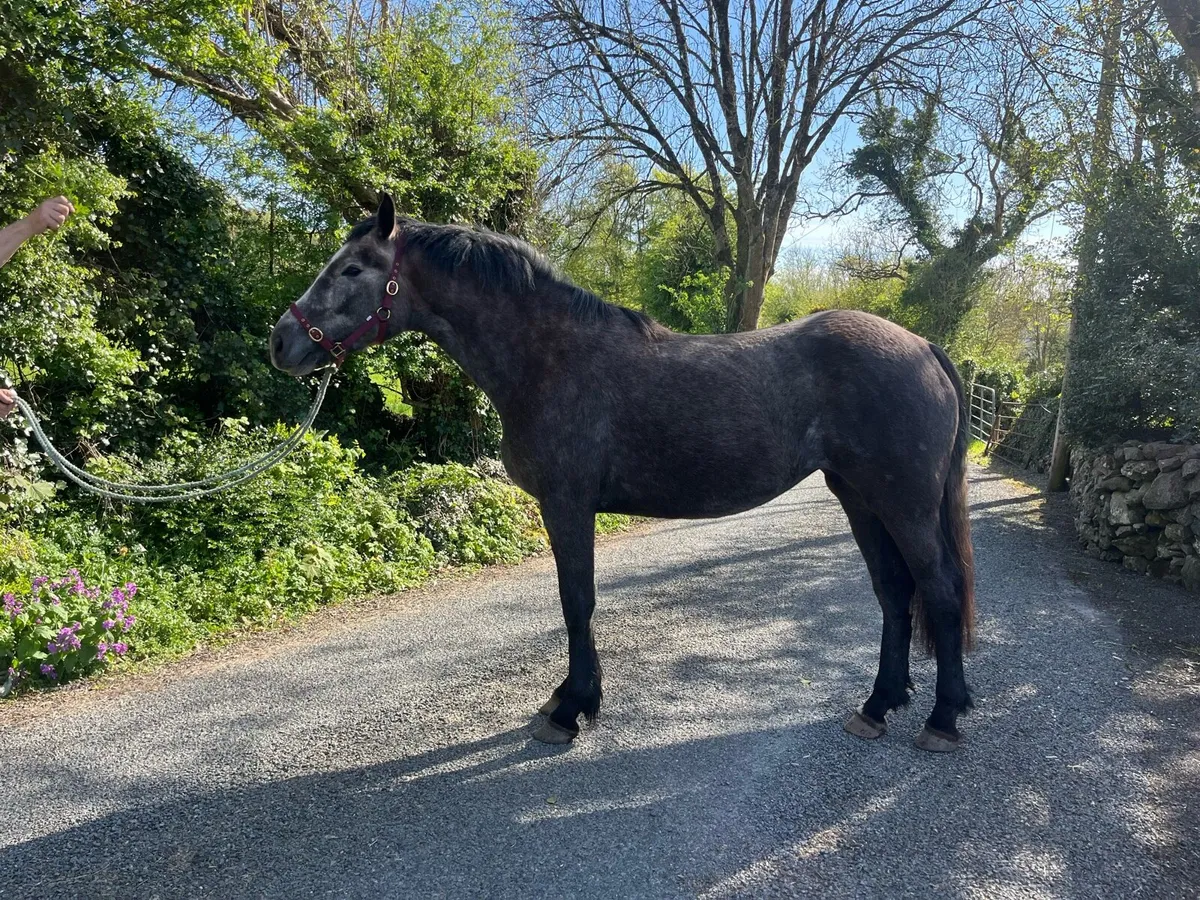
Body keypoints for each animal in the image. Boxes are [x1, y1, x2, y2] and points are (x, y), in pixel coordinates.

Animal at [270, 193, 976, 753]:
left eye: (352, 268)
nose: (282, 340)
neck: (548, 359)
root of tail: (923, 348)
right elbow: (574, 603)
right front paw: (568, 699)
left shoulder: (567, 503)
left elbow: (576, 602)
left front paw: (571, 710)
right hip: (859, 496)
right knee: (894, 592)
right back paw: (877, 706)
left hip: (904, 504)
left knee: (938, 592)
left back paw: (941, 719)